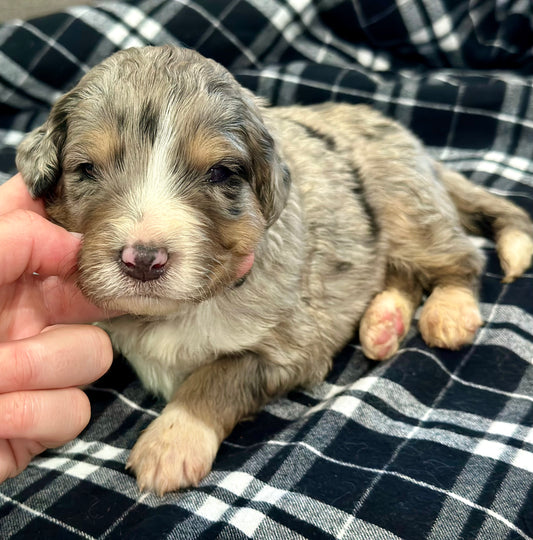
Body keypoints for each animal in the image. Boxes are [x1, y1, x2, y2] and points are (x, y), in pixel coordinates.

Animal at [15, 46, 532, 494]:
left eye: (220, 173)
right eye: (86, 169)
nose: (143, 259)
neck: (170, 312)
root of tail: (413, 142)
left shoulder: (291, 346)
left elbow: (218, 375)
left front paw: (171, 442)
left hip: (407, 209)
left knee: (461, 261)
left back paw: (448, 313)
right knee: (398, 275)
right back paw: (383, 324)